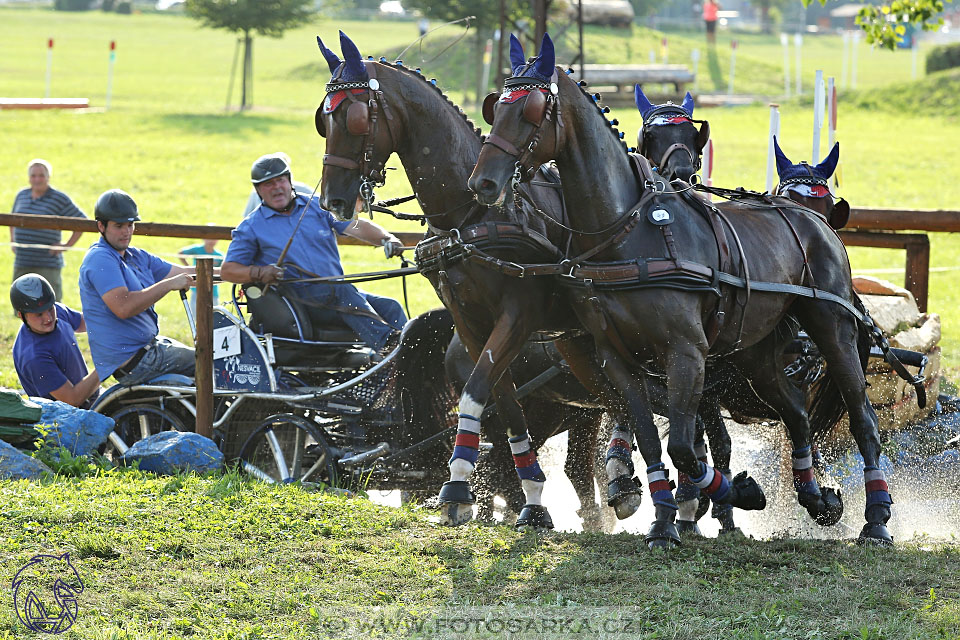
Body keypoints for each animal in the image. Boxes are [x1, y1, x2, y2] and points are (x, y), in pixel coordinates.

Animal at [468, 32, 896, 548]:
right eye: (497, 107)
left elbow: (685, 447)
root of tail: (818, 224)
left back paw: (875, 519)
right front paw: (665, 516)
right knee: (796, 416)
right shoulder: (617, 359)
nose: (483, 181)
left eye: (532, 110)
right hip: (757, 352)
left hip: (832, 331)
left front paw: (718, 498)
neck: (625, 228)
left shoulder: (687, 351)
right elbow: (654, 439)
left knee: (863, 418)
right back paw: (816, 498)